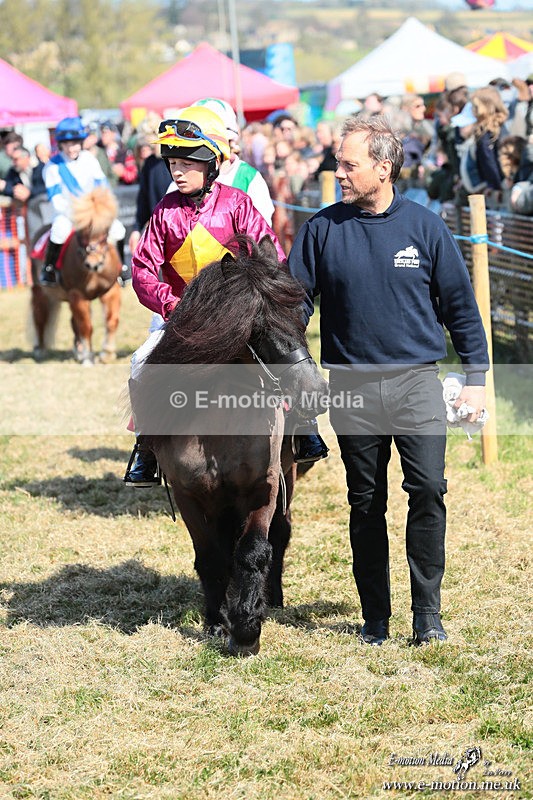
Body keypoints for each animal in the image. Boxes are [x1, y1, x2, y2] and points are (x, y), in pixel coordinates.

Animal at [30, 187, 122, 365]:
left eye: (104, 231)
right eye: (81, 231)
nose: (93, 264)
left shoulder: (111, 291)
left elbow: (111, 320)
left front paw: (107, 353)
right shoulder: (77, 295)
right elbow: (86, 326)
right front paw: (87, 357)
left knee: (73, 322)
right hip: (41, 292)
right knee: (39, 316)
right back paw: (40, 350)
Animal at [131, 235, 329, 656]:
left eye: (302, 317)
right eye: (258, 327)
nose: (316, 393)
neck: (217, 426)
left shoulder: (263, 487)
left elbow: (253, 551)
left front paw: (247, 627)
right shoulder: (189, 495)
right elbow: (210, 557)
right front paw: (217, 622)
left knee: (280, 534)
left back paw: (272, 599)